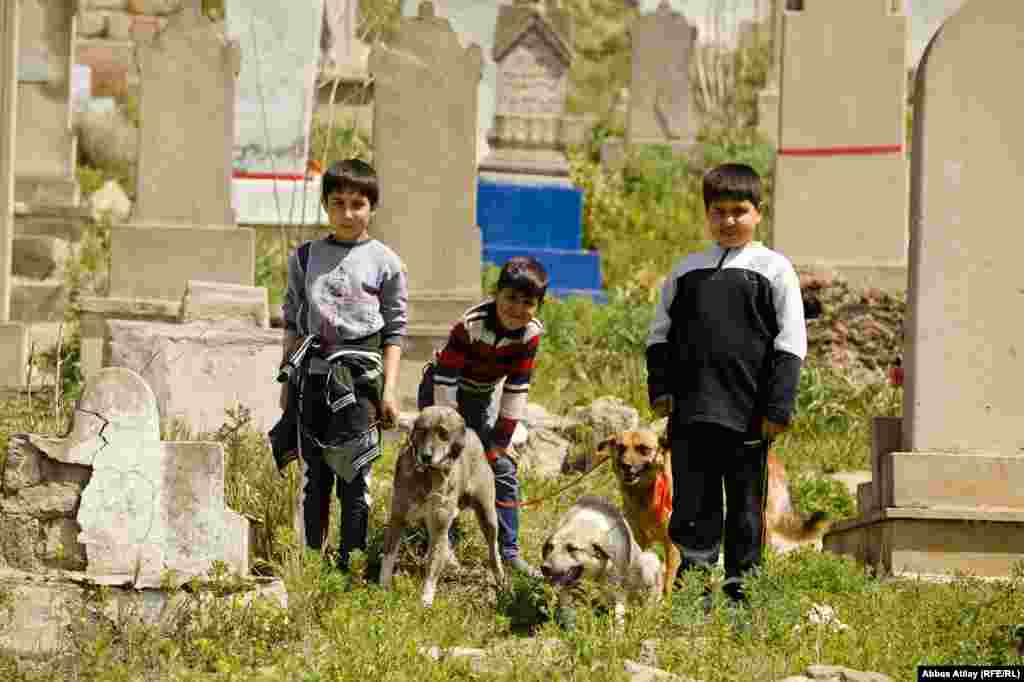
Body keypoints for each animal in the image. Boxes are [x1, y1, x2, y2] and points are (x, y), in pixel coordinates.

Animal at [378, 403, 505, 606]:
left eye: (443, 433)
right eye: (422, 430)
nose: (426, 456)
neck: (427, 476)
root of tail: (472, 433)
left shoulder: (438, 527)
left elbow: (432, 569)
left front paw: (426, 601)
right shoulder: (398, 519)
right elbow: (389, 556)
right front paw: (382, 587)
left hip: (487, 516)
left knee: (493, 549)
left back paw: (499, 577)